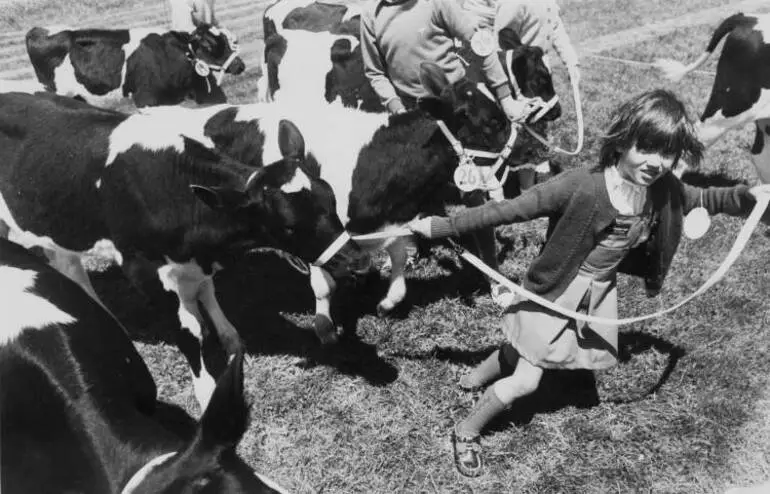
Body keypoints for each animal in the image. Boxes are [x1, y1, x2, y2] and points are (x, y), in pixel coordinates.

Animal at [0, 92, 362, 410]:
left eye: (331, 199)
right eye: (288, 226)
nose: (359, 261)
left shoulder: (196, 260)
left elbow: (208, 293)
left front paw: (230, 338)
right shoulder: (142, 268)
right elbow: (189, 333)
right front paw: (206, 391)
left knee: (67, 263)